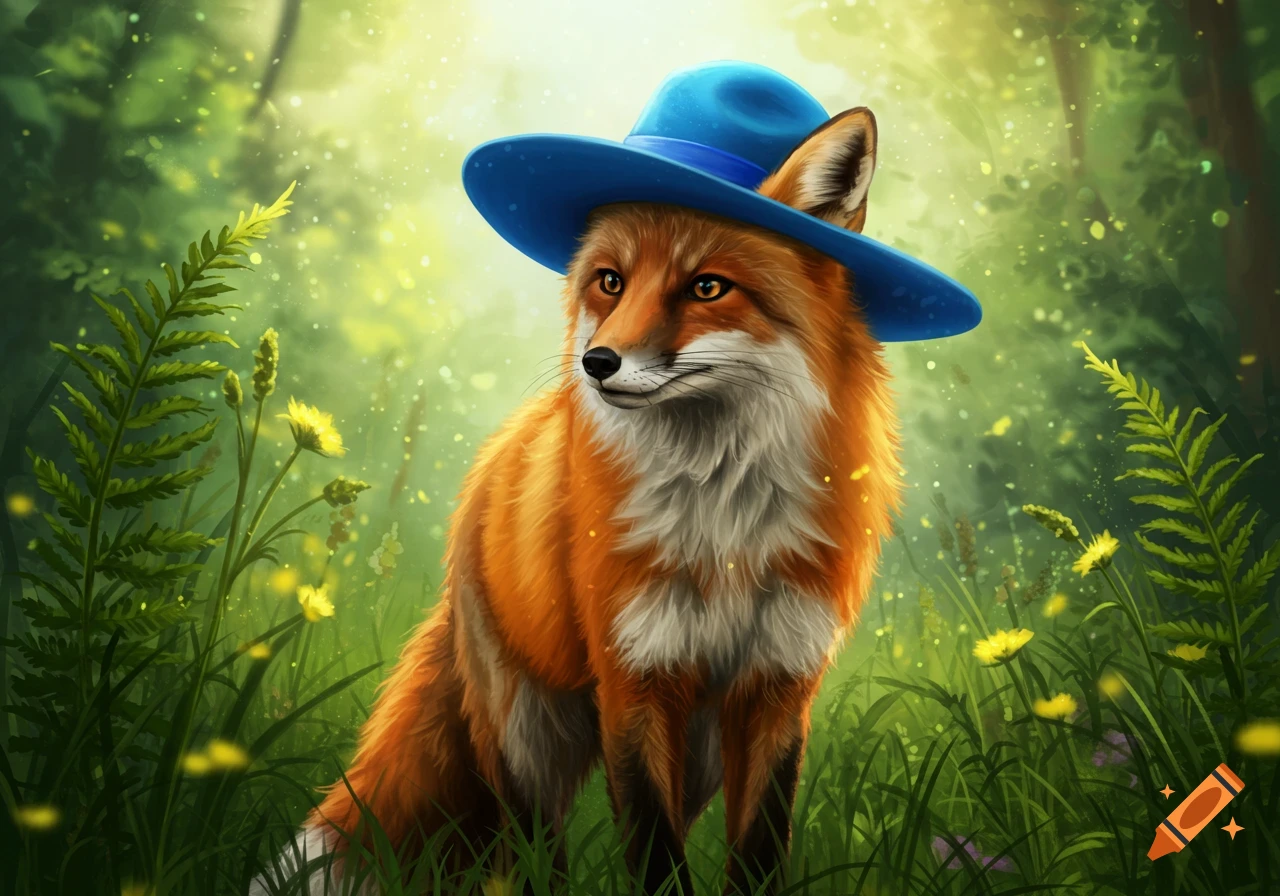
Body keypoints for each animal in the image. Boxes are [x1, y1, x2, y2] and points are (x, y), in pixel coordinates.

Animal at [253, 105, 900, 896]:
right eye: (610, 282)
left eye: (708, 288)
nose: (597, 363)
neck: (723, 523)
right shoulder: (632, 679)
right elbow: (653, 854)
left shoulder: (776, 685)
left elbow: (756, 851)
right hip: (526, 734)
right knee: (526, 852)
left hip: (700, 747)